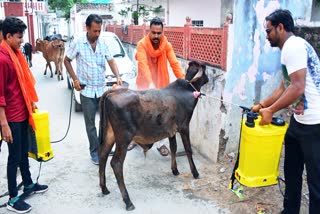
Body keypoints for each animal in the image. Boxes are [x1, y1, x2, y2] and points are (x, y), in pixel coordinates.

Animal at [99, 60, 210, 211]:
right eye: (204, 68)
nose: (208, 79)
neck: (187, 89)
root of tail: (112, 92)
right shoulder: (184, 126)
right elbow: (188, 150)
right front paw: (195, 173)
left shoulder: (171, 130)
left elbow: (174, 148)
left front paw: (175, 170)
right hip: (123, 137)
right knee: (116, 163)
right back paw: (128, 201)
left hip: (110, 134)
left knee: (103, 154)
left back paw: (104, 188)